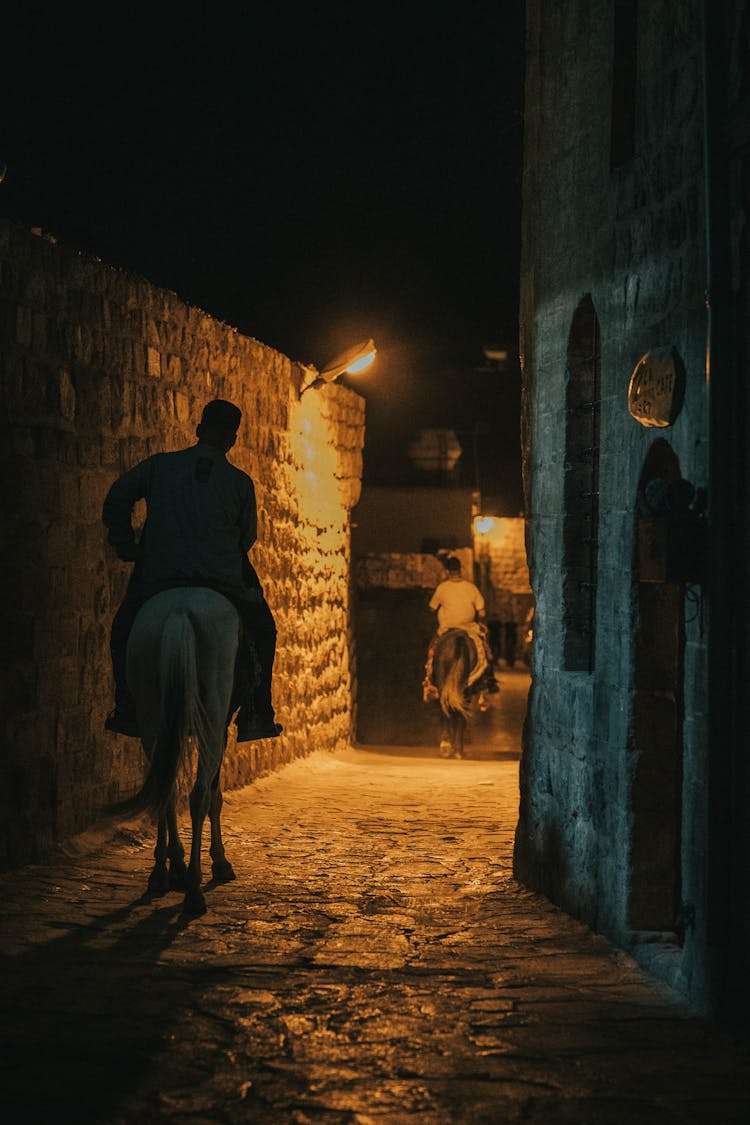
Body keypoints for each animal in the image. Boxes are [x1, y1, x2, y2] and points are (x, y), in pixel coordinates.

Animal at [111, 585, 239, 918]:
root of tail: (180, 609)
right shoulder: (220, 727)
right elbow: (215, 796)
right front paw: (220, 862)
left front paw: (173, 864)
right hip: (213, 717)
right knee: (198, 795)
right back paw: (194, 889)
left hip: (151, 715)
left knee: (164, 785)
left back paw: (164, 872)